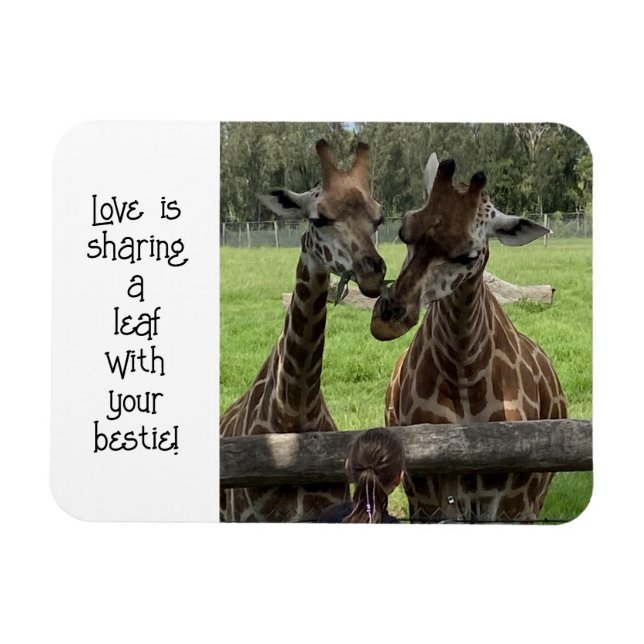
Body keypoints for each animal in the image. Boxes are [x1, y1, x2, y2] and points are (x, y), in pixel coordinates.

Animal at [370, 154, 567, 523]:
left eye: (470, 255)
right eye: (405, 232)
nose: (387, 318)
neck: (465, 377)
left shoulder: (513, 500)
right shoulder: (427, 494)